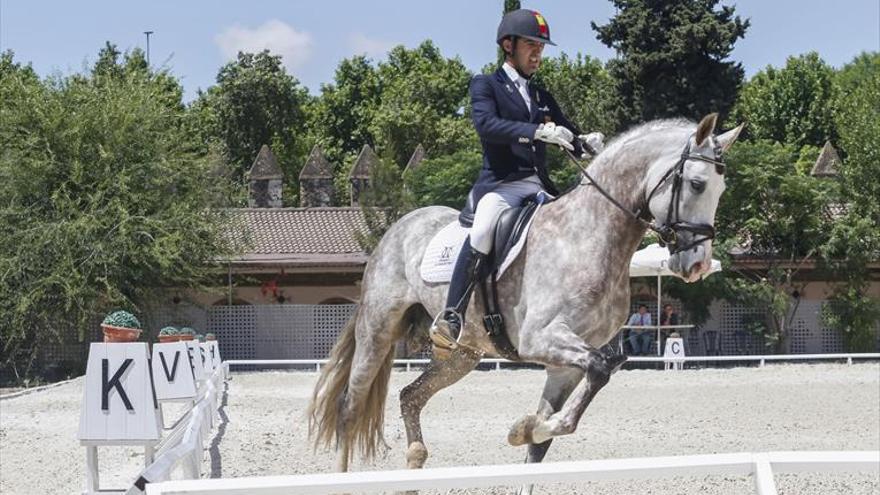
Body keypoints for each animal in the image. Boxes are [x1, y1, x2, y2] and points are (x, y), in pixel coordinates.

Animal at [308, 112, 744, 480]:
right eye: (697, 184)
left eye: (722, 188)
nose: (698, 264)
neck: (590, 235)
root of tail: (399, 226)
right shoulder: (542, 338)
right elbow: (599, 370)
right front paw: (522, 428)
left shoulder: (566, 364)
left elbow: (551, 432)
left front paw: (527, 429)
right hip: (377, 330)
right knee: (349, 407)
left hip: (462, 355)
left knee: (410, 396)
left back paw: (416, 458)